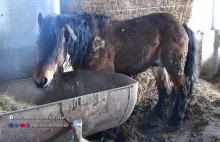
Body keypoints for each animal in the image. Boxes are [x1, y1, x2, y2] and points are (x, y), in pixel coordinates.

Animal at [33, 10, 197, 139]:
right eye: (38, 42)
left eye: (58, 45)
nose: (40, 80)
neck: (93, 42)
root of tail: (181, 25)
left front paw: (109, 133)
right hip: (159, 66)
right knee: (165, 90)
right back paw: (155, 118)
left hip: (173, 66)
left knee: (182, 89)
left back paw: (176, 121)